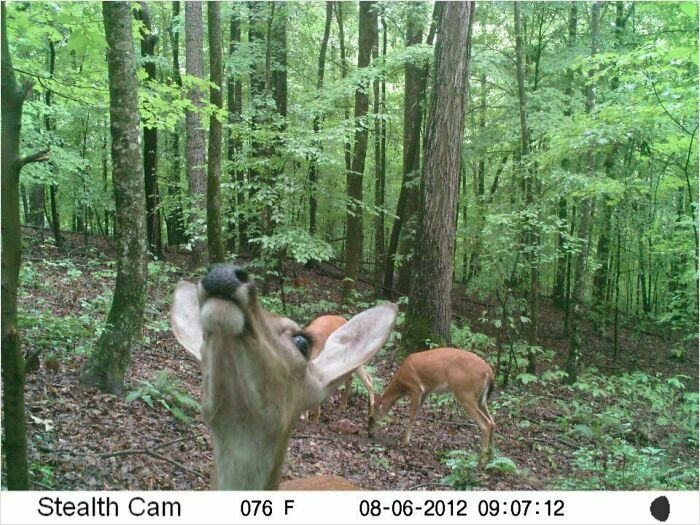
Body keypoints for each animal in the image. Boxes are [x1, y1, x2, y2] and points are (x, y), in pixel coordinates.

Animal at [367, 347, 496, 469]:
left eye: (371, 417)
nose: (369, 434)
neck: (401, 384)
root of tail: (489, 372)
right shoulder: (427, 391)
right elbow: (416, 414)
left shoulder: (416, 388)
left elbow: (412, 416)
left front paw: (404, 442)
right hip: (480, 399)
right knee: (492, 422)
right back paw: (491, 458)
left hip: (465, 392)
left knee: (486, 424)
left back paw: (481, 463)